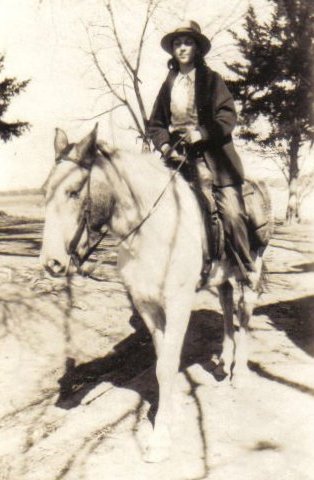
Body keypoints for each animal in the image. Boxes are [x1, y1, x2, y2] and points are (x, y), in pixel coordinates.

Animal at [39, 125, 270, 464]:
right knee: (227, 307)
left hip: (251, 269)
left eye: (74, 191)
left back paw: (238, 373)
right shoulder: (147, 305)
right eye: (45, 191)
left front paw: (160, 439)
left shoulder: (177, 304)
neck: (152, 230)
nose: (51, 263)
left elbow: (168, 364)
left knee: (244, 313)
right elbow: (163, 366)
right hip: (222, 277)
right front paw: (167, 419)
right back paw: (222, 363)